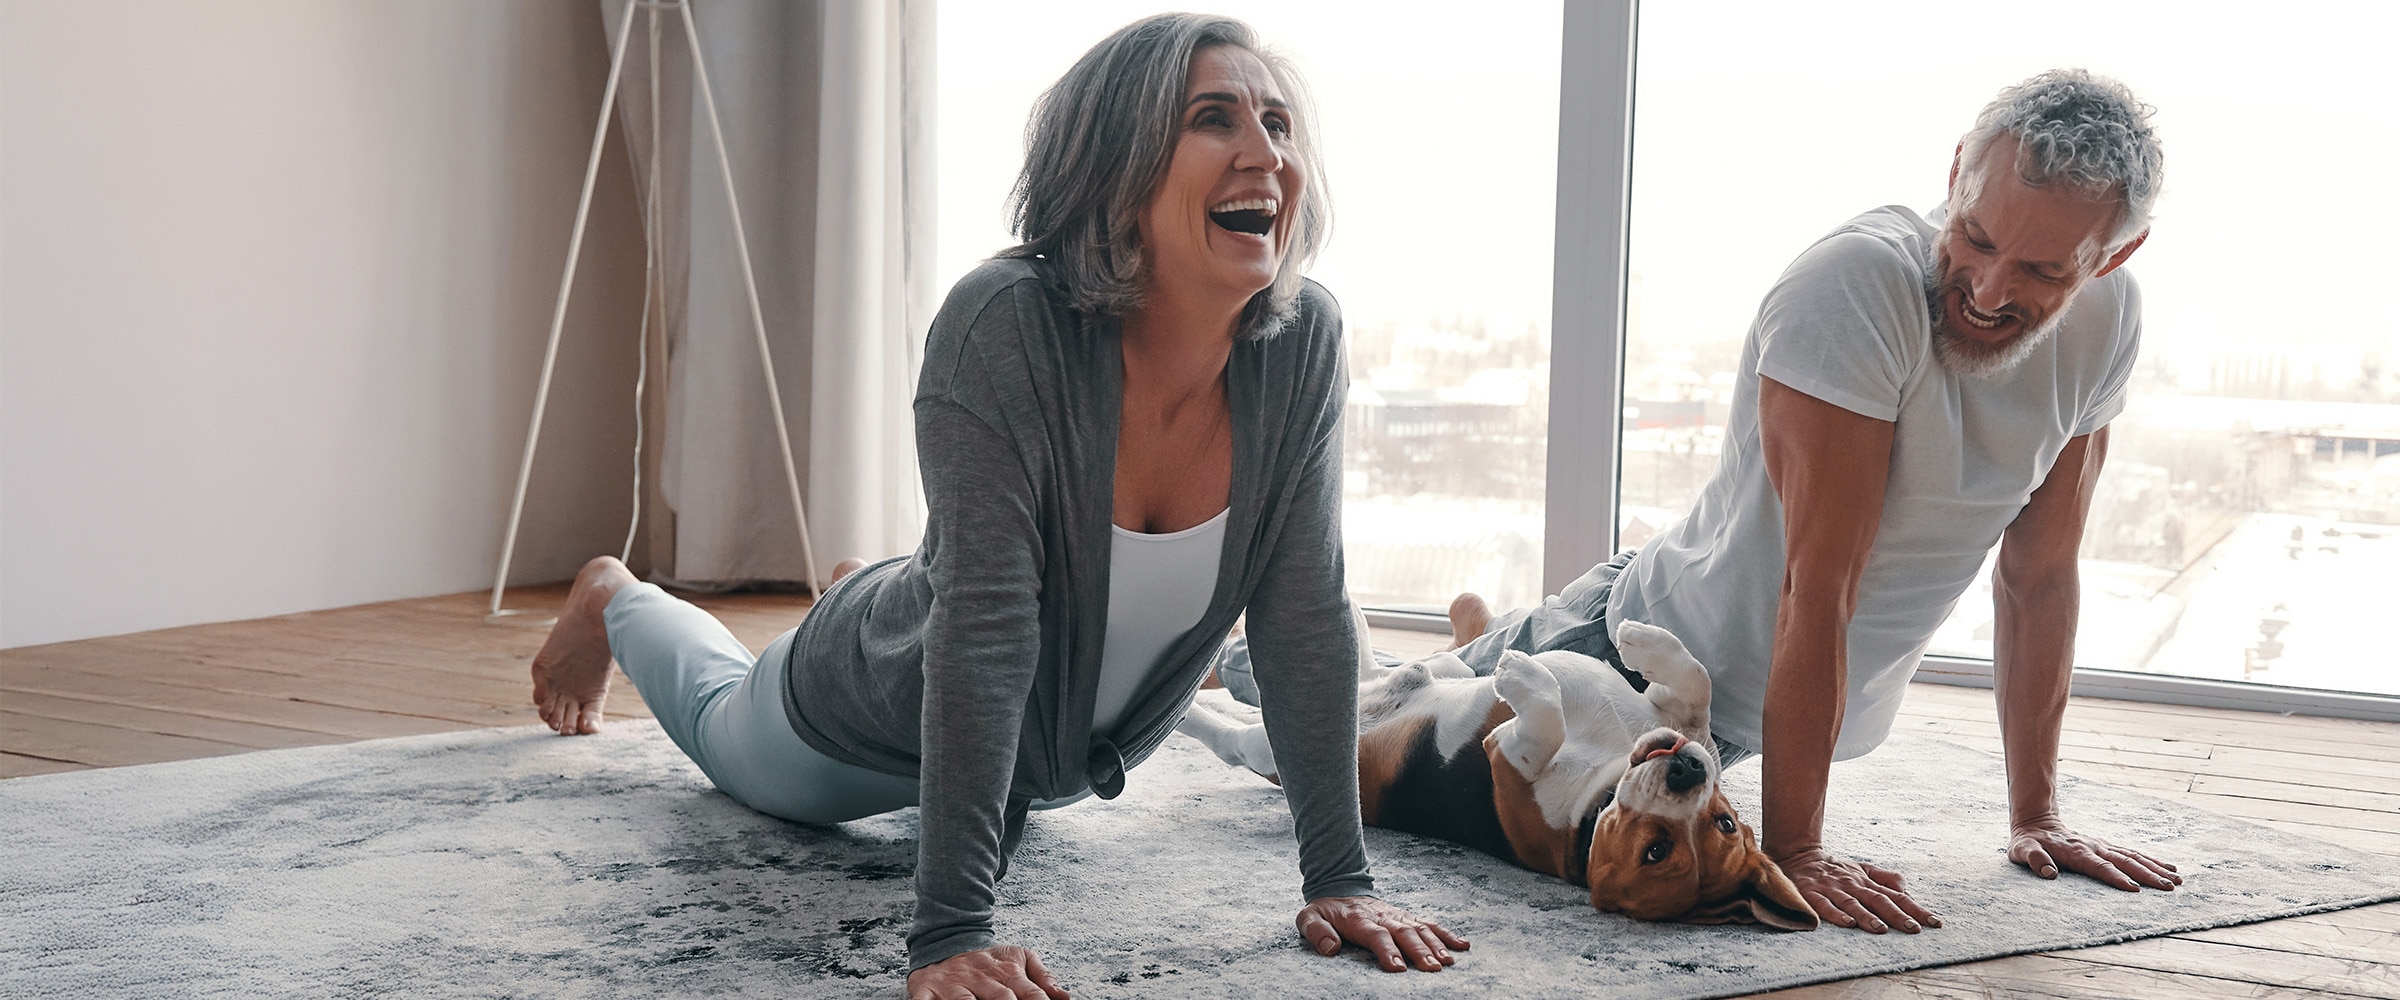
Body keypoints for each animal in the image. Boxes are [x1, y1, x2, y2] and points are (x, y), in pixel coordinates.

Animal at [1171, 613, 1804, 925]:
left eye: (1657, 851)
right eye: (1726, 820)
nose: (1686, 776)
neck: (1601, 790)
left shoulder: (1508, 760)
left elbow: (1544, 724)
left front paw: (1522, 675)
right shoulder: (1675, 721)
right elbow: (1698, 686)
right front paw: (1642, 640)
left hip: (1267, 746)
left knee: (1231, 738)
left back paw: (1185, 712)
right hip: (1423, 672)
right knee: (1397, 663)